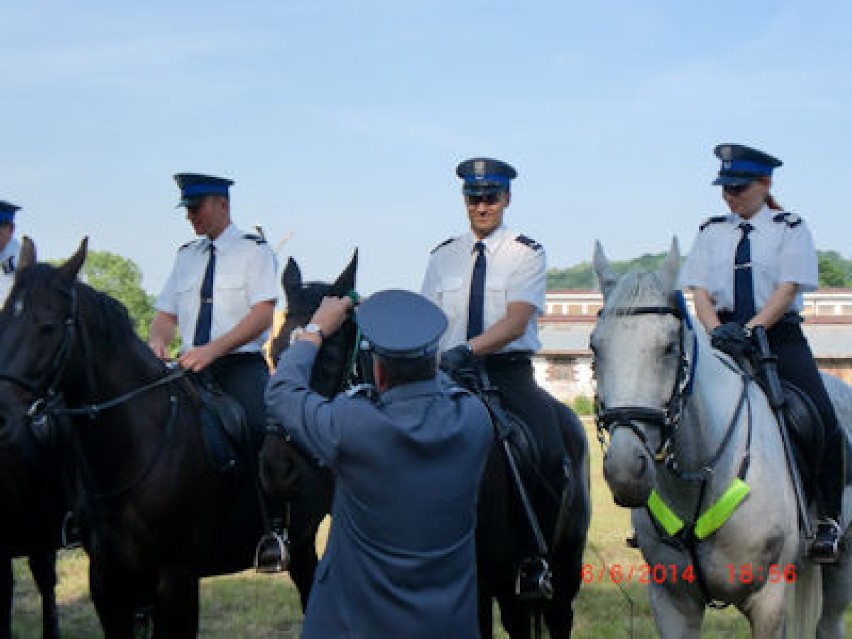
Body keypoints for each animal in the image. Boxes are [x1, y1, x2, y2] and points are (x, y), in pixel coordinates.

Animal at [588, 238, 848, 636]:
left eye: (669, 347)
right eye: (595, 347)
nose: (624, 471)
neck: (704, 477)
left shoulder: (769, 602)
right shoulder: (672, 603)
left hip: (841, 565)